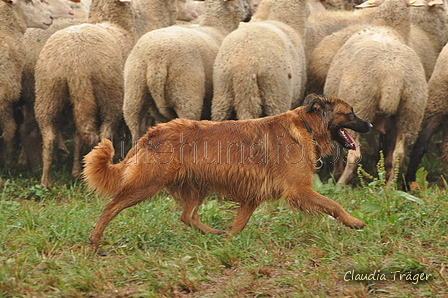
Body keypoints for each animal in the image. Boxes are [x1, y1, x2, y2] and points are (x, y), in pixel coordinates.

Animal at [83, 94, 372, 248]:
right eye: (351, 113)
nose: (369, 125)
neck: (306, 126)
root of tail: (151, 133)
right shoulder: (299, 190)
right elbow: (333, 204)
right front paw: (354, 222)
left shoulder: (252, 196)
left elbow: (239, 223)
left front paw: (230, 240)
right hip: (146, 185)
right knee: (111, 207)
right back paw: (95, 240)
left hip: (195, 188)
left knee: (187, 216)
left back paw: (213, 233)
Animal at [122, 0, 252, 141]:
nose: (250, 12)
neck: (218, 27)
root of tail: (156, 59)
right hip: (185, 94)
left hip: (134, 95)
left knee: (136, 128)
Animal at [322, 0, 428, 184]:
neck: (387, 27)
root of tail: (392, 77)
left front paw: (335, 174)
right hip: (410, 112)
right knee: (398, 155)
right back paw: (389, 187)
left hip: (360, 105)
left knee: (354, 153)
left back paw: (341, 184)